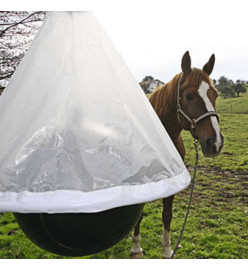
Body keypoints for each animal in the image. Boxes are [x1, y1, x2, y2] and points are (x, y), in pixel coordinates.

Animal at [131, 51, 224, 260]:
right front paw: (136, 247)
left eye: (215, 94)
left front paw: (167, 250)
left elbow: (167, 214)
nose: (215, 143)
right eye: (189, 96)